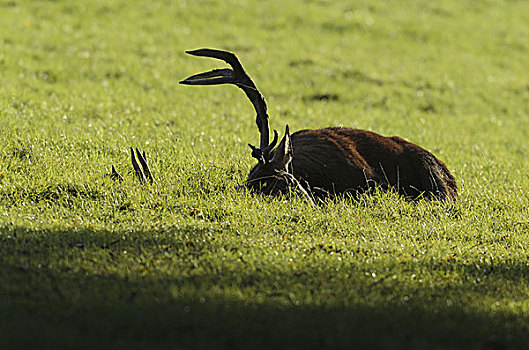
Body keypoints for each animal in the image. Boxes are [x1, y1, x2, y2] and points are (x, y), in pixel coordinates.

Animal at [179, 47, 456, 204]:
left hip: (433, 178)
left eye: (292, 180)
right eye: (277, 184)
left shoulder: (370, 180)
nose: (309, 201)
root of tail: (453, 179)